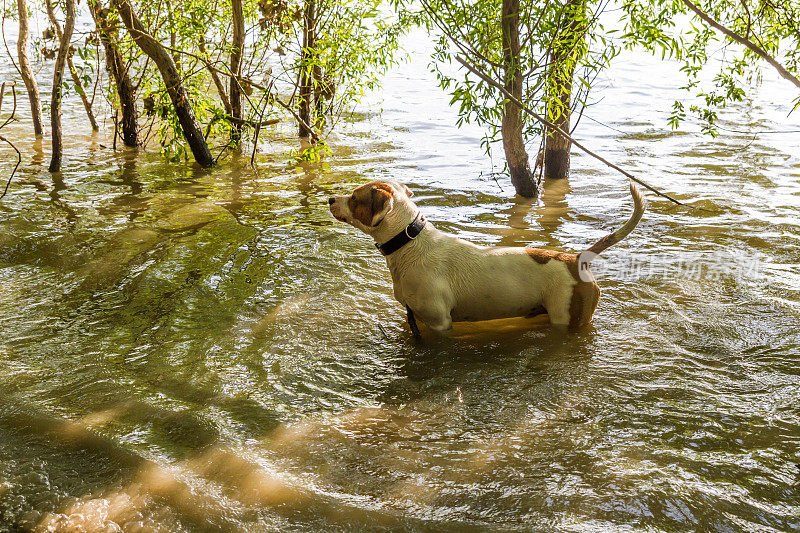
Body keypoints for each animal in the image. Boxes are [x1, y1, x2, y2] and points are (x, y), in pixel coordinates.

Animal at [328, 181, 648, 334]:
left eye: (354, 197)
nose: (330, 199)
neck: (409, 244)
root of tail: (575, 259)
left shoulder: (440, 323)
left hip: (567, 317)